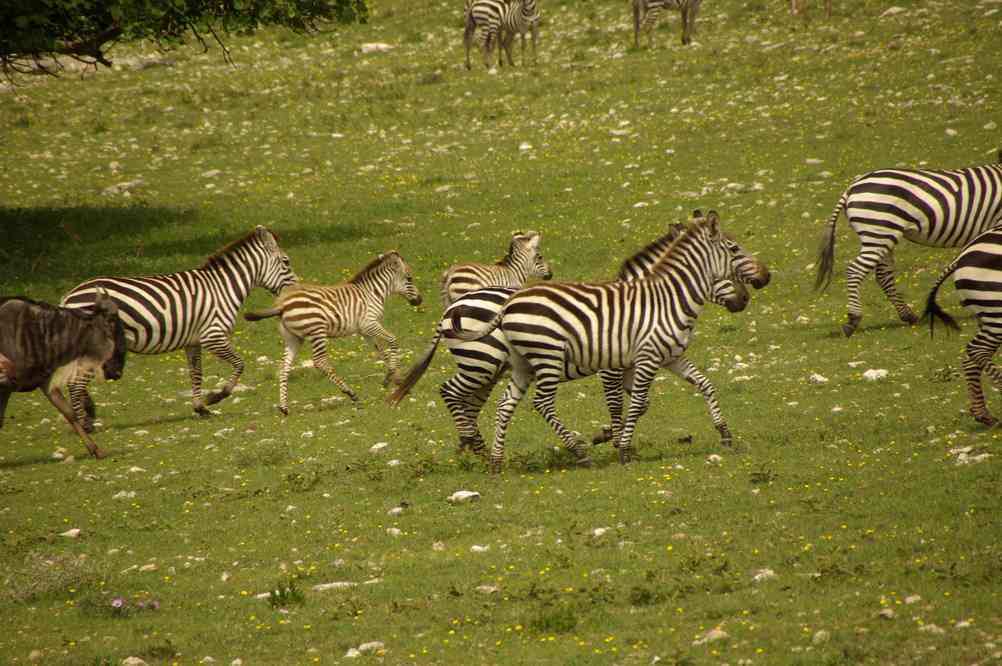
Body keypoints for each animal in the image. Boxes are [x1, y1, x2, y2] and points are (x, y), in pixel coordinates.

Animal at [60, 224, 296, 426]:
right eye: (286, 262)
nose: (296, 289)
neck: (224, 288)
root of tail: (68, 297)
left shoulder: (193, 341)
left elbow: (196, 373)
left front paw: (200, 407)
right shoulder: (213, 335)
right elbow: (240, 364)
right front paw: (215, 397)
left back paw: (88, 412)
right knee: (75, 383)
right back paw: (85, 422)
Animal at [248, 252, 424, 412]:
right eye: (409, 278)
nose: (419, 300)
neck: (373, 293)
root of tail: (282, 304)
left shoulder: (364, 331)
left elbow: (382, 352)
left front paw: (393, 379)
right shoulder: (369, 323)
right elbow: (393, 340)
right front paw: (397, 379)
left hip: (293, 338)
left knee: (284, 366)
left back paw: (284, 407)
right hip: (317, 331)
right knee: (320, 361)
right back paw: (351, 394)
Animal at [813, 152, 1002, 334]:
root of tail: (851, 187)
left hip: (882, 235)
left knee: (883, 274)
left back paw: (908, 316)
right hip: (879, 232)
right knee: (856, 269)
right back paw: (853, 319)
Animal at [925, 227, 1002, 426]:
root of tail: (963, 254)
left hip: (987, 315)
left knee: (971, 358)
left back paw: (982, 414)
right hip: (996, 310)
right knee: (976, 350)